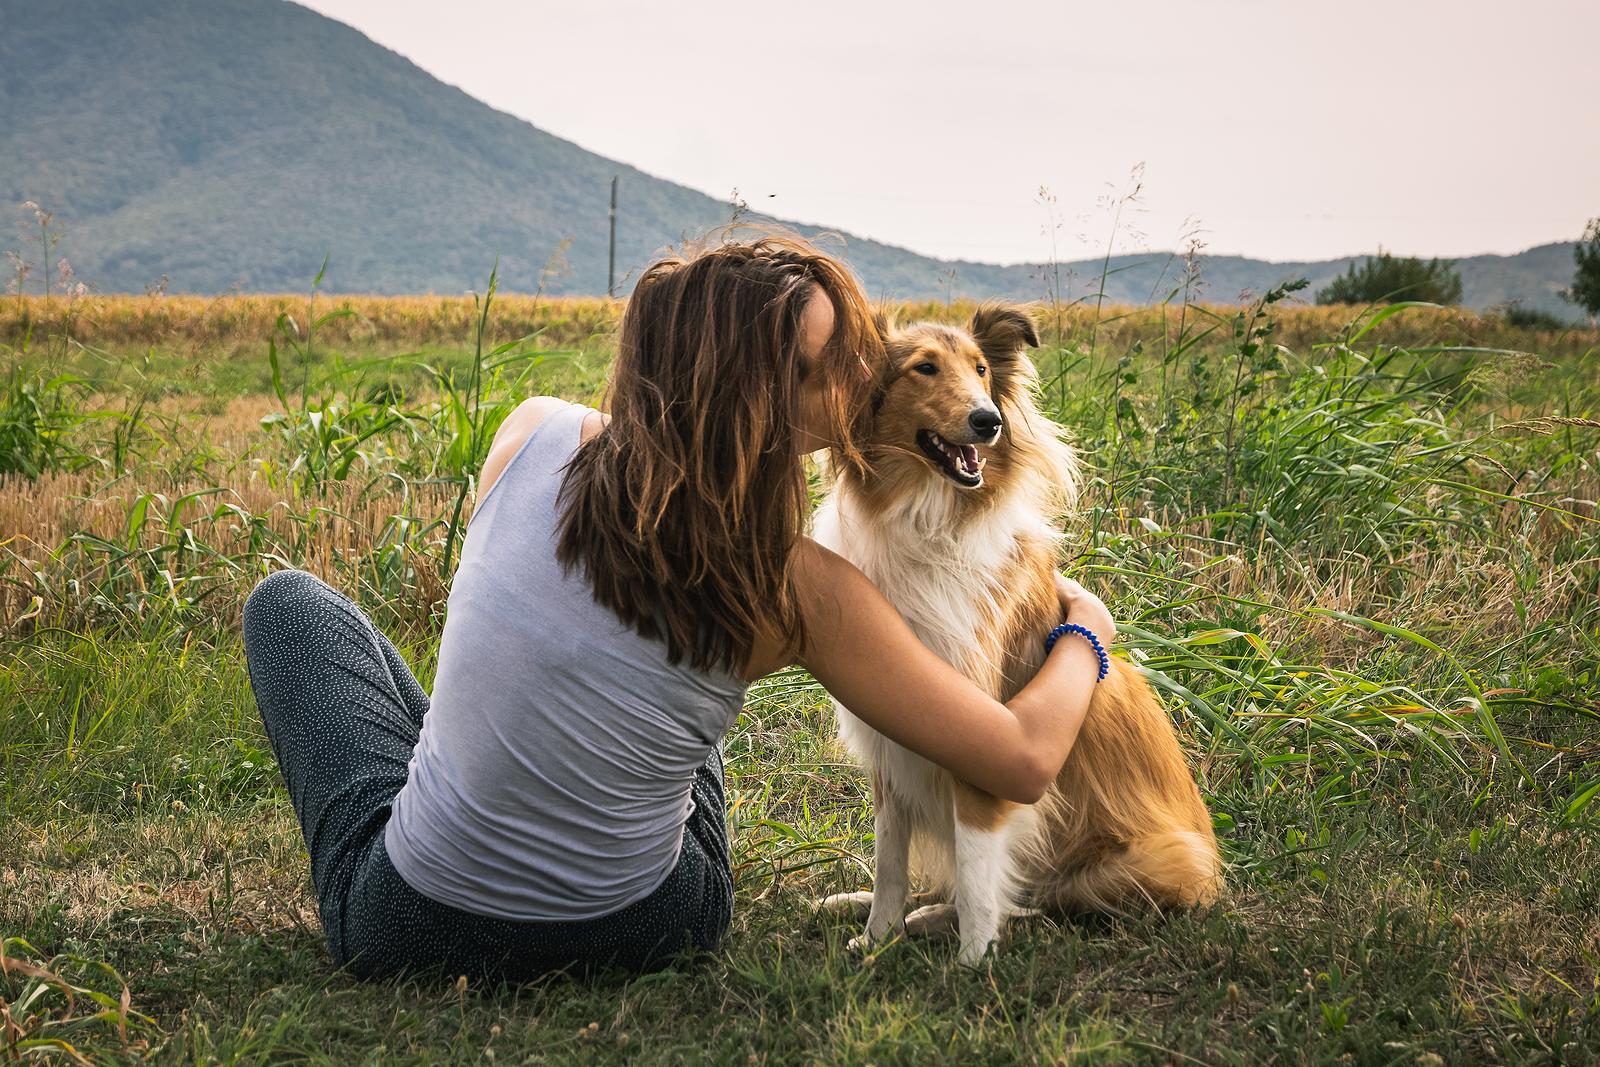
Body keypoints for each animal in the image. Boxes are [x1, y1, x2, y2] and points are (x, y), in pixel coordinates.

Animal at [819, 302, 1216, 966]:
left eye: (982, 369)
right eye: (924, 368)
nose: (989, 421)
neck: (928, 524)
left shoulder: (984, 740)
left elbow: (981, 877)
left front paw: (973, 966)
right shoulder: (891, 752)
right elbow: (890, 862)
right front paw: (876, 939)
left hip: (1138, 866)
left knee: (1041, 901)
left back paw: (940, 922)